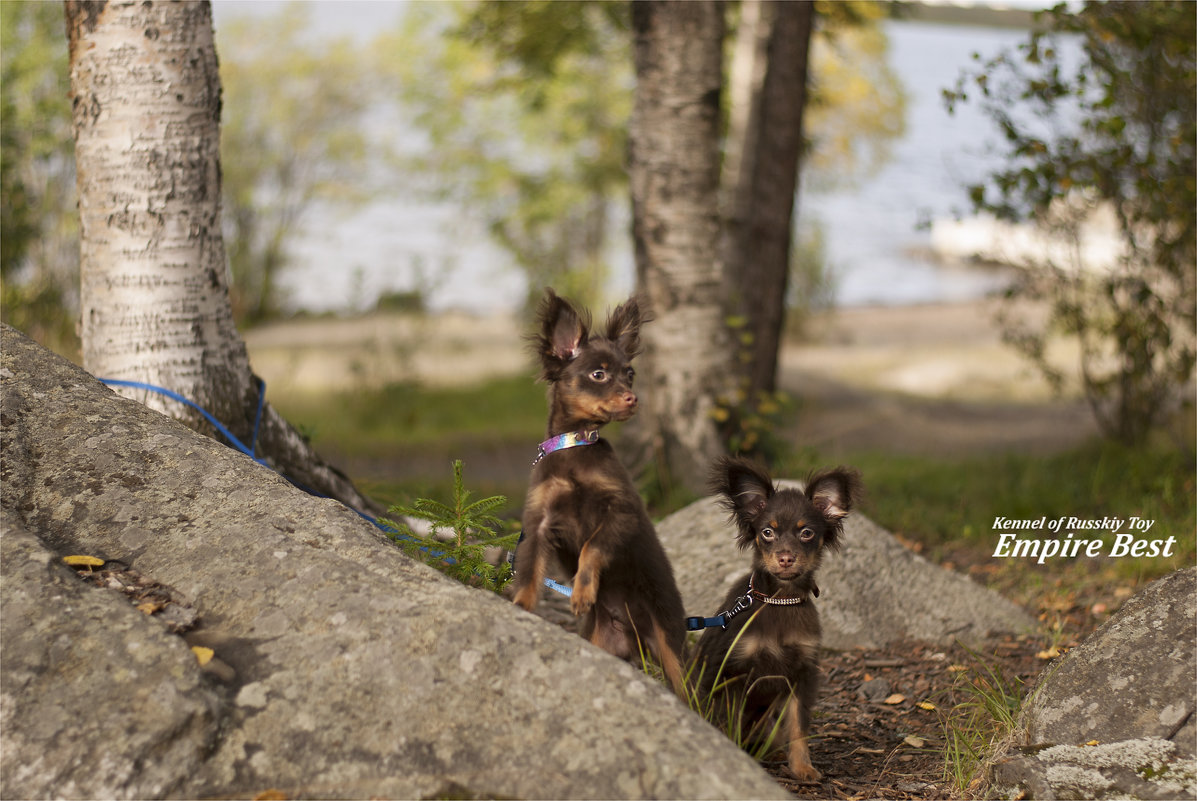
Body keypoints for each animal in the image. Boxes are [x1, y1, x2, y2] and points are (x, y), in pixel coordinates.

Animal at [509, 287, 689, 694]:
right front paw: (521, 606)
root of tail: (634, 635)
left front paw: (582, 591)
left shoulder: (620, 513)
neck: (576, 445)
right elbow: (529, 569)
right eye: (598, 374)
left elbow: (592, 547)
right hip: (600, 642)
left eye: (630, 374)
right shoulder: (538, 522)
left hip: (671, 645)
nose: (632, 399)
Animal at [694, 454, 861, 780]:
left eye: (806, 533)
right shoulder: (731, 674)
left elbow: (797, 726)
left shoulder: (801, 675)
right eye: (767, 533)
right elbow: (728, 722)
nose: (785, 558)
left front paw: (803, 768)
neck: (780, 600)